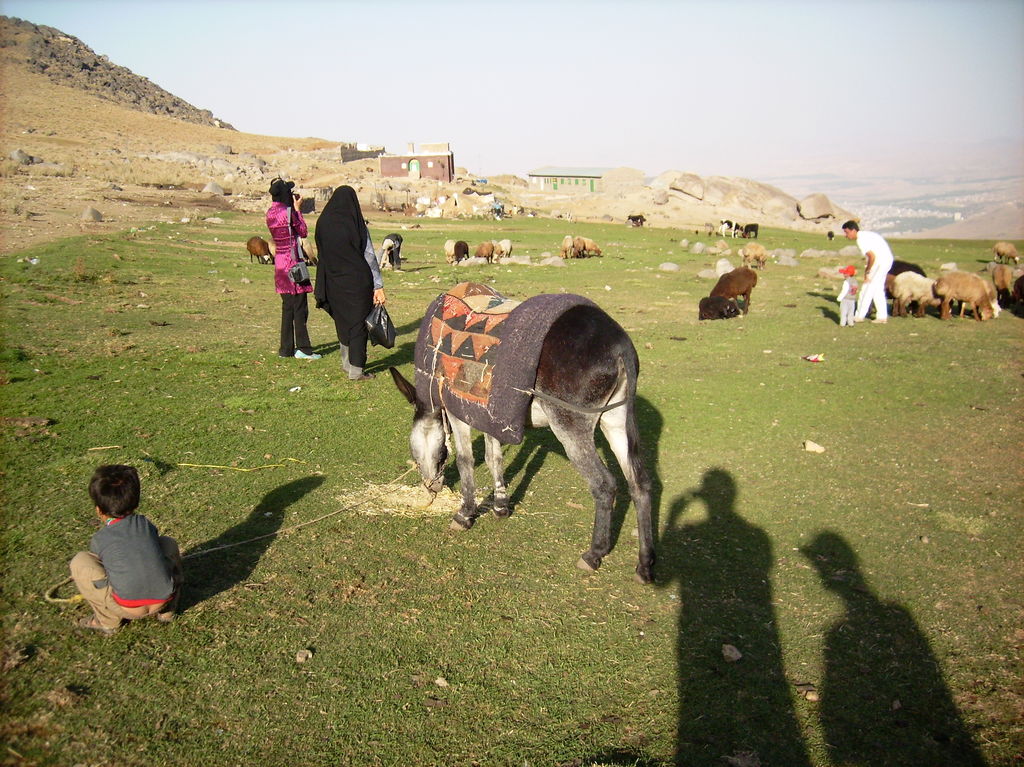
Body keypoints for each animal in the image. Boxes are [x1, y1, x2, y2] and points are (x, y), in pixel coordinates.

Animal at [388, 288, 655, 583]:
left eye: (418, 453)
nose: (431, 488)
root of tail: (619, 345)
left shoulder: (459, 411)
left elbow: (466, 461)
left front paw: (465, 514)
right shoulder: (488, 413)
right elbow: (494, 457)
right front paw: (500, 507)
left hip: (570, 425)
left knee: (605, 484)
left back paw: (593, 554)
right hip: (615, 420)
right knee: (640, 483)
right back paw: (645, 565)